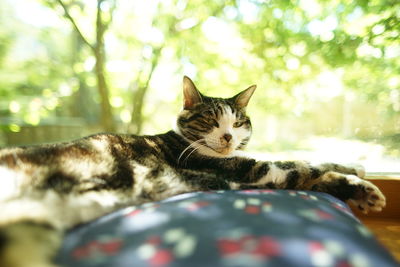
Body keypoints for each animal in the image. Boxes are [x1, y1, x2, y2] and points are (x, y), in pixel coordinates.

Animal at [0, 76, 386, 267]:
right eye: (211, 120)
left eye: (238, 122)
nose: (228, 136)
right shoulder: (250, 170)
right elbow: (303, 166)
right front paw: (361, 184)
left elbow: (307, 163)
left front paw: (357, 170)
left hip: (26, 231)